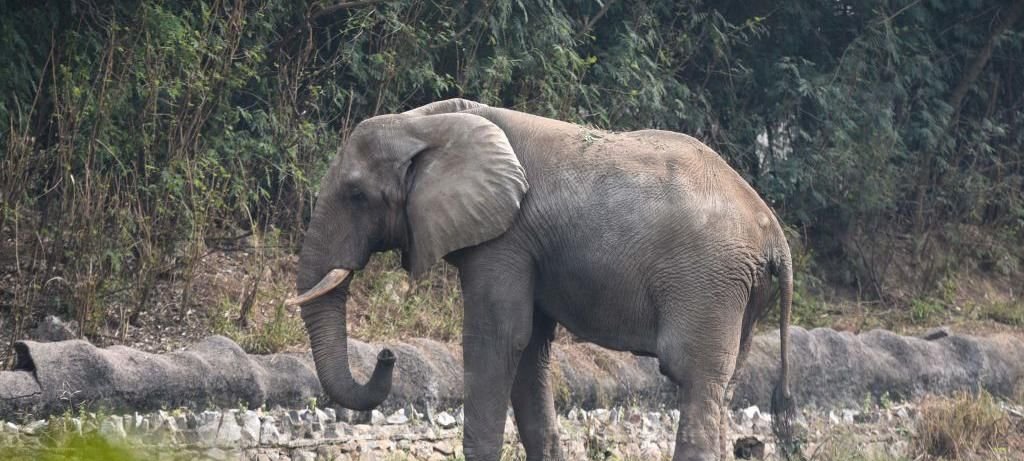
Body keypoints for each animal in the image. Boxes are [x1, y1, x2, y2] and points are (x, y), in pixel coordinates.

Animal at [286, 99, 797, 461]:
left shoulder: (506, 239)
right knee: (722, 385)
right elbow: (530, 350)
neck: (428, 121)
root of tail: (773, 231)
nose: (388, 354)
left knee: (693, 377)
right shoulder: (526, 246)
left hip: (709, 281)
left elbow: (497, 338)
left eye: (356, 194)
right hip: (737, 290)